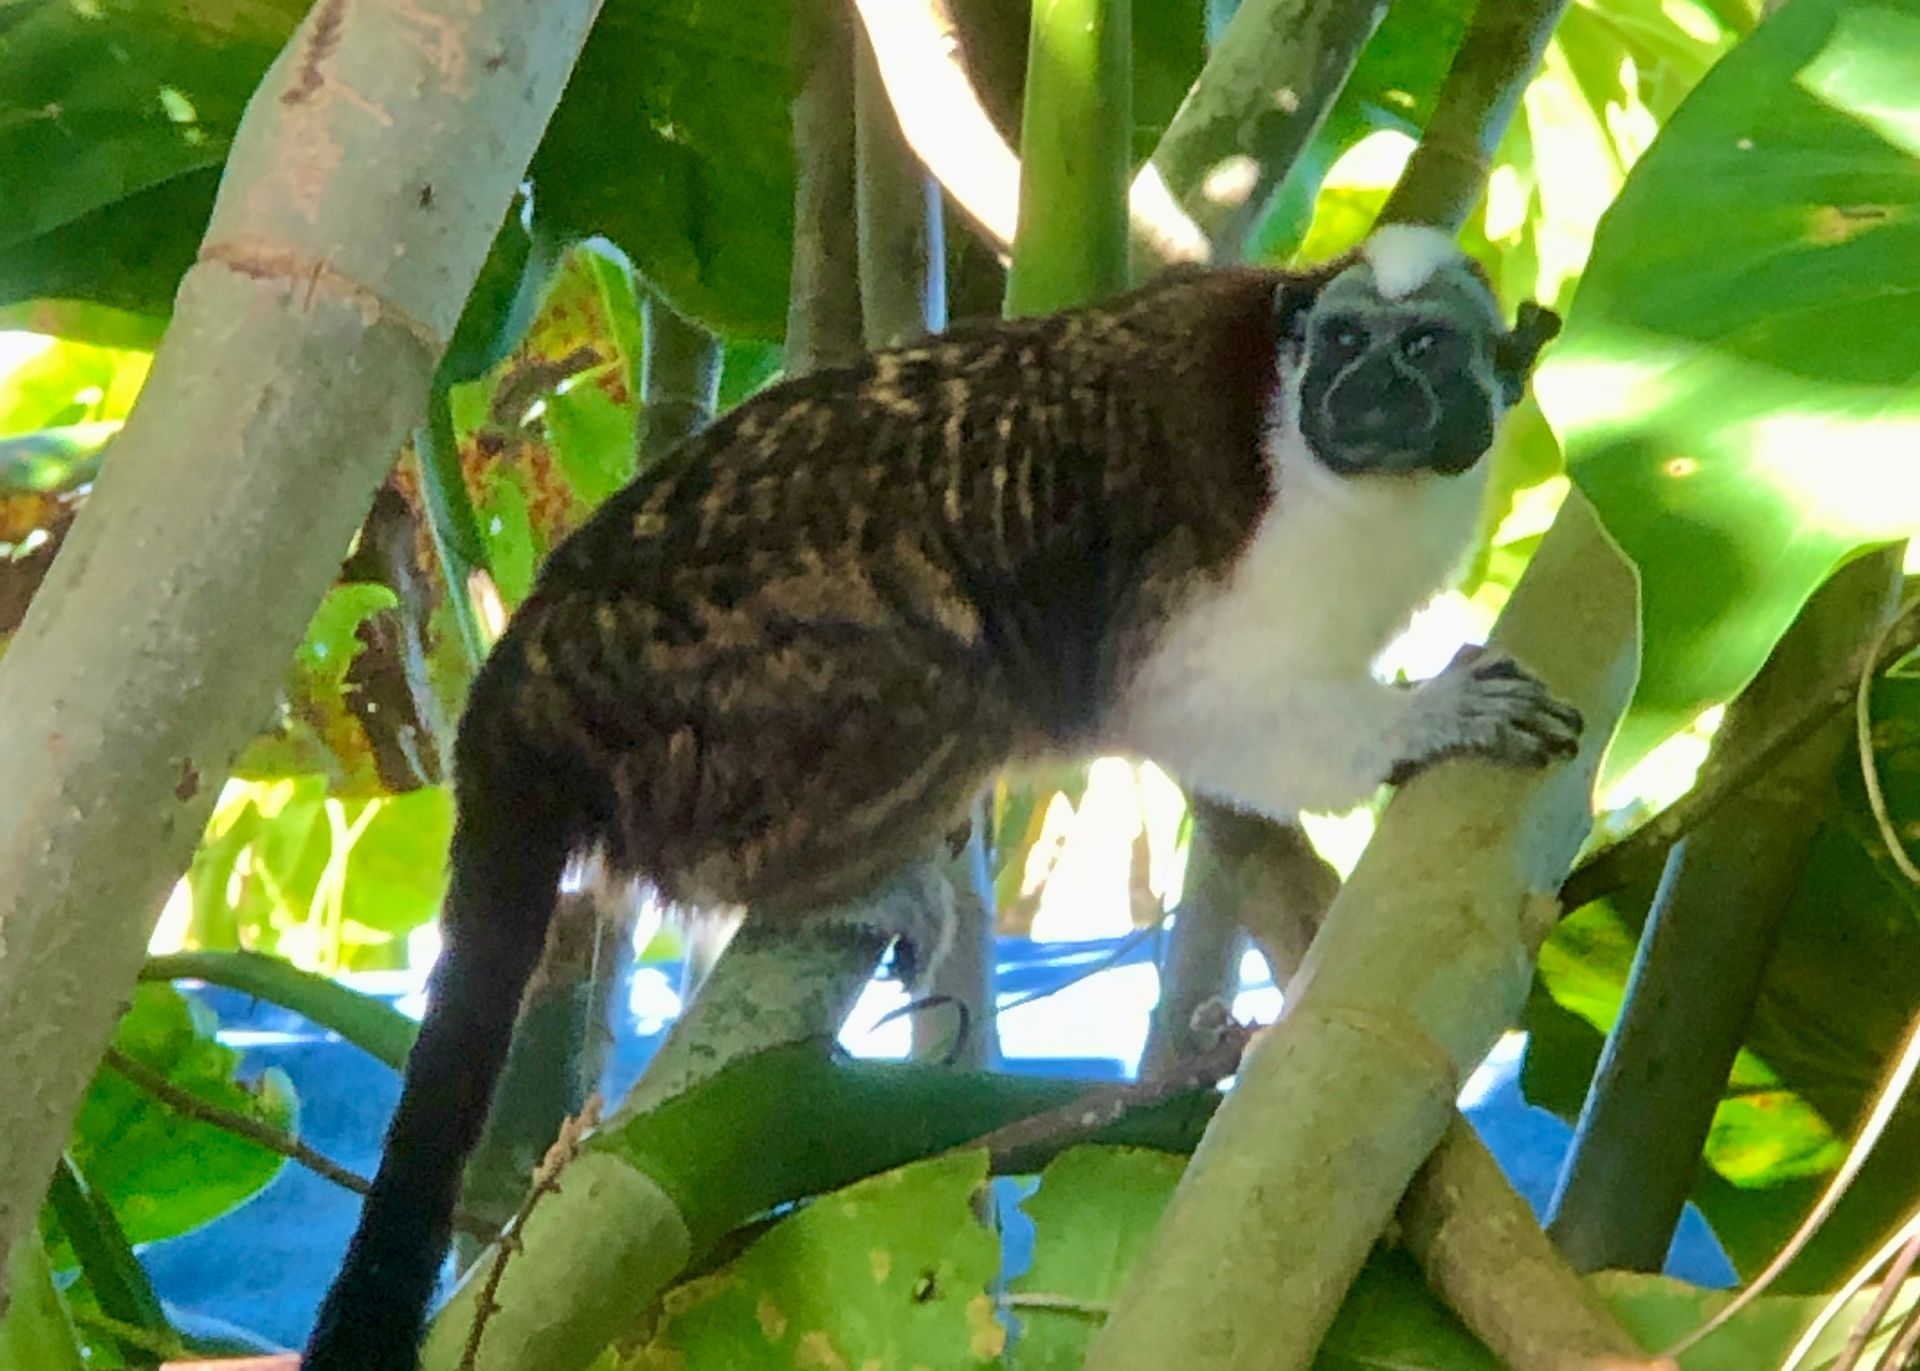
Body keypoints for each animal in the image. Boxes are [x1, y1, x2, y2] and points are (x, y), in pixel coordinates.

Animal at [301, 225, 1578, 1370]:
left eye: (1425, 351)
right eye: (1349, 344)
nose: (1365, 395)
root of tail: (530, 666)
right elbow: (1189, 707)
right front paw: (1423, 722)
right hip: (705, 713)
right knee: (943, 670)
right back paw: (832, 879)